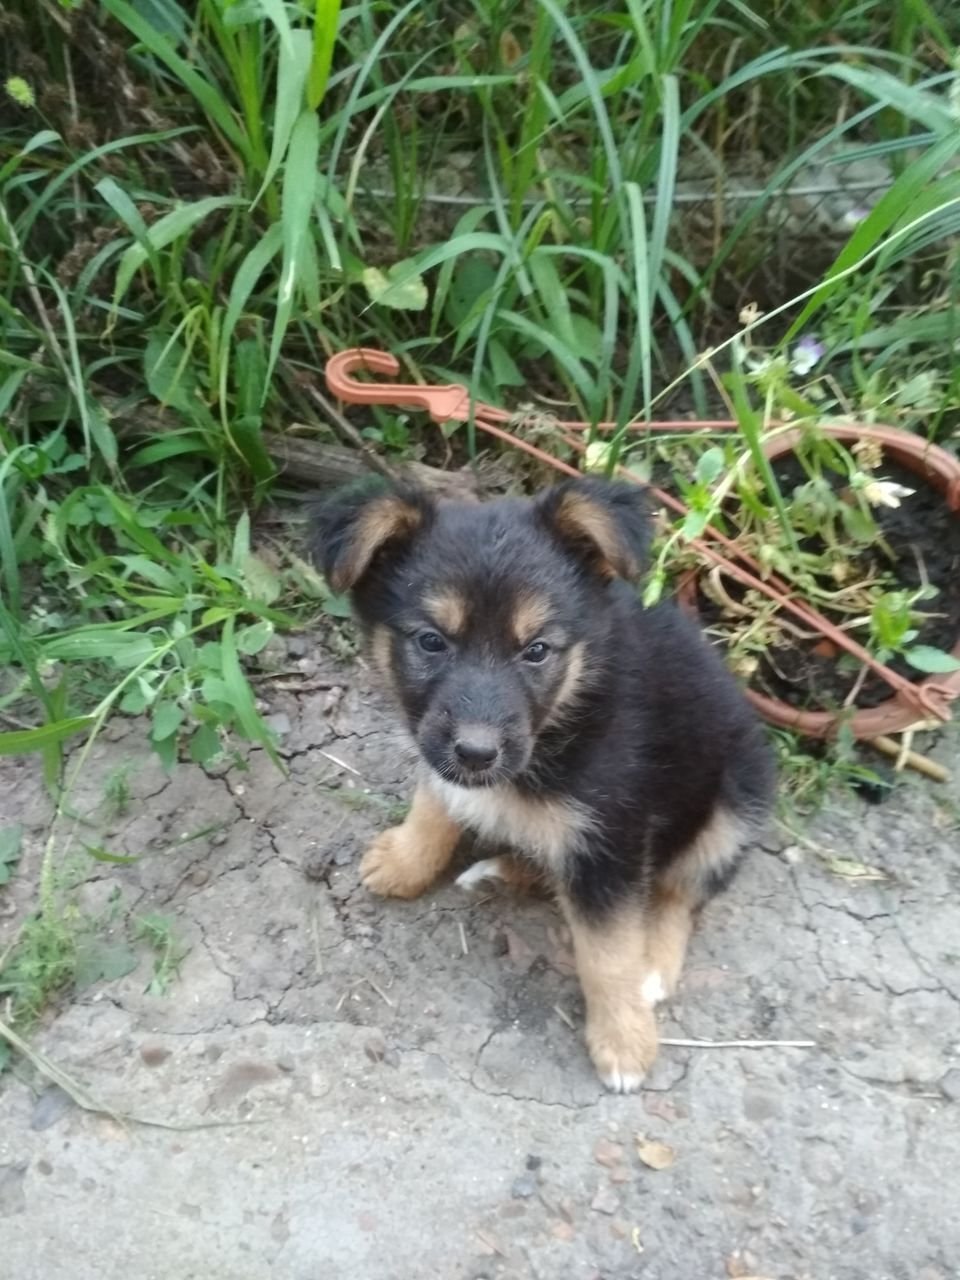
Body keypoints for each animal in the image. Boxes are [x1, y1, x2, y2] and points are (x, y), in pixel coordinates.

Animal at [309, 476, 774, 1091]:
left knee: (682, 891)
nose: (477, 754)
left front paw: (623, 1040)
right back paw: (502, 870)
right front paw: (406, 861)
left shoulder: (609, 838)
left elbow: (608, 953)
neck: (562, 717)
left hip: (736, 799)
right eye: (431, 641)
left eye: (536, 650)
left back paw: (651, 966)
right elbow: (434, 800)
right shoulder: (440, 748)